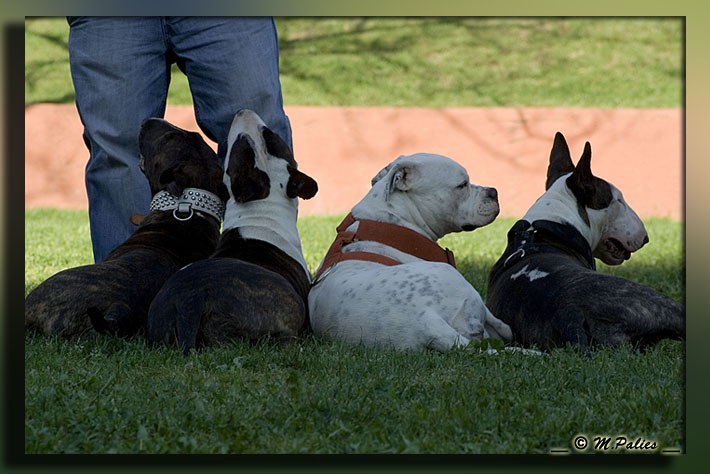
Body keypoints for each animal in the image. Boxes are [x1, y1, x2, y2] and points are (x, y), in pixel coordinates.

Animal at [308, 153, 516, 352]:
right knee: (503, 328)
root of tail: (427, 321)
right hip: (458, 282)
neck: (389, 221)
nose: (494, 192)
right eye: (462, 185)